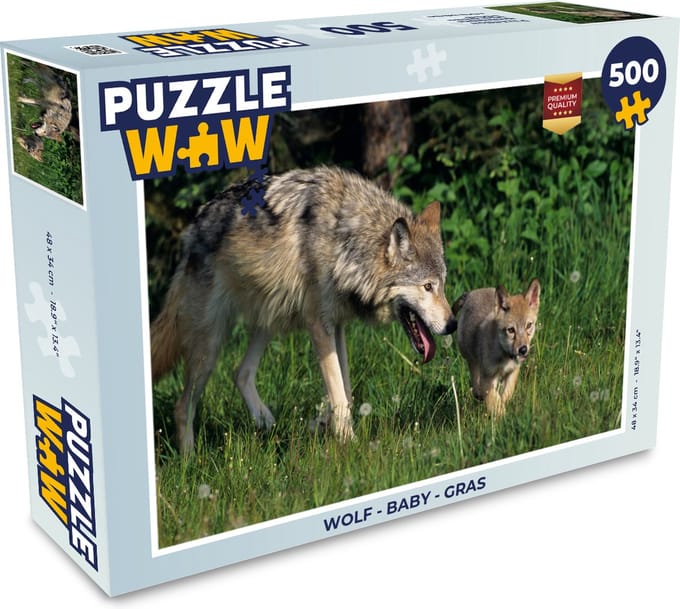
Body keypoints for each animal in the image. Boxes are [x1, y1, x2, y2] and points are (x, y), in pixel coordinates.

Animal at [151, 166, 456, 453]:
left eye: (442, 285)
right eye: (427, 287)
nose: (453, 324)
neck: (345, 243)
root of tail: (192, 229)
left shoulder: (337, 325)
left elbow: (345, 390)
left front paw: (326, 426)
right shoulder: (319, 325)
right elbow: (339, 395)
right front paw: (349, 445)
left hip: (268, 320)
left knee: (240, 373)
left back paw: (264, 419)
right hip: (210, 346)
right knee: (183, 406)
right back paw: (189, 460)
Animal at [453, 278, 540, 416]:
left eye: (529, 325)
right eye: (511, 330)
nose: (523, 350)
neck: (504, 354)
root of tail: (471, 293)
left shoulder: (513, 371)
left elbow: (506, 394)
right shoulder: (487, 378)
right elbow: (494, 401)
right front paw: (502, 417)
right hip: (469, 355)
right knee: (475, 378)